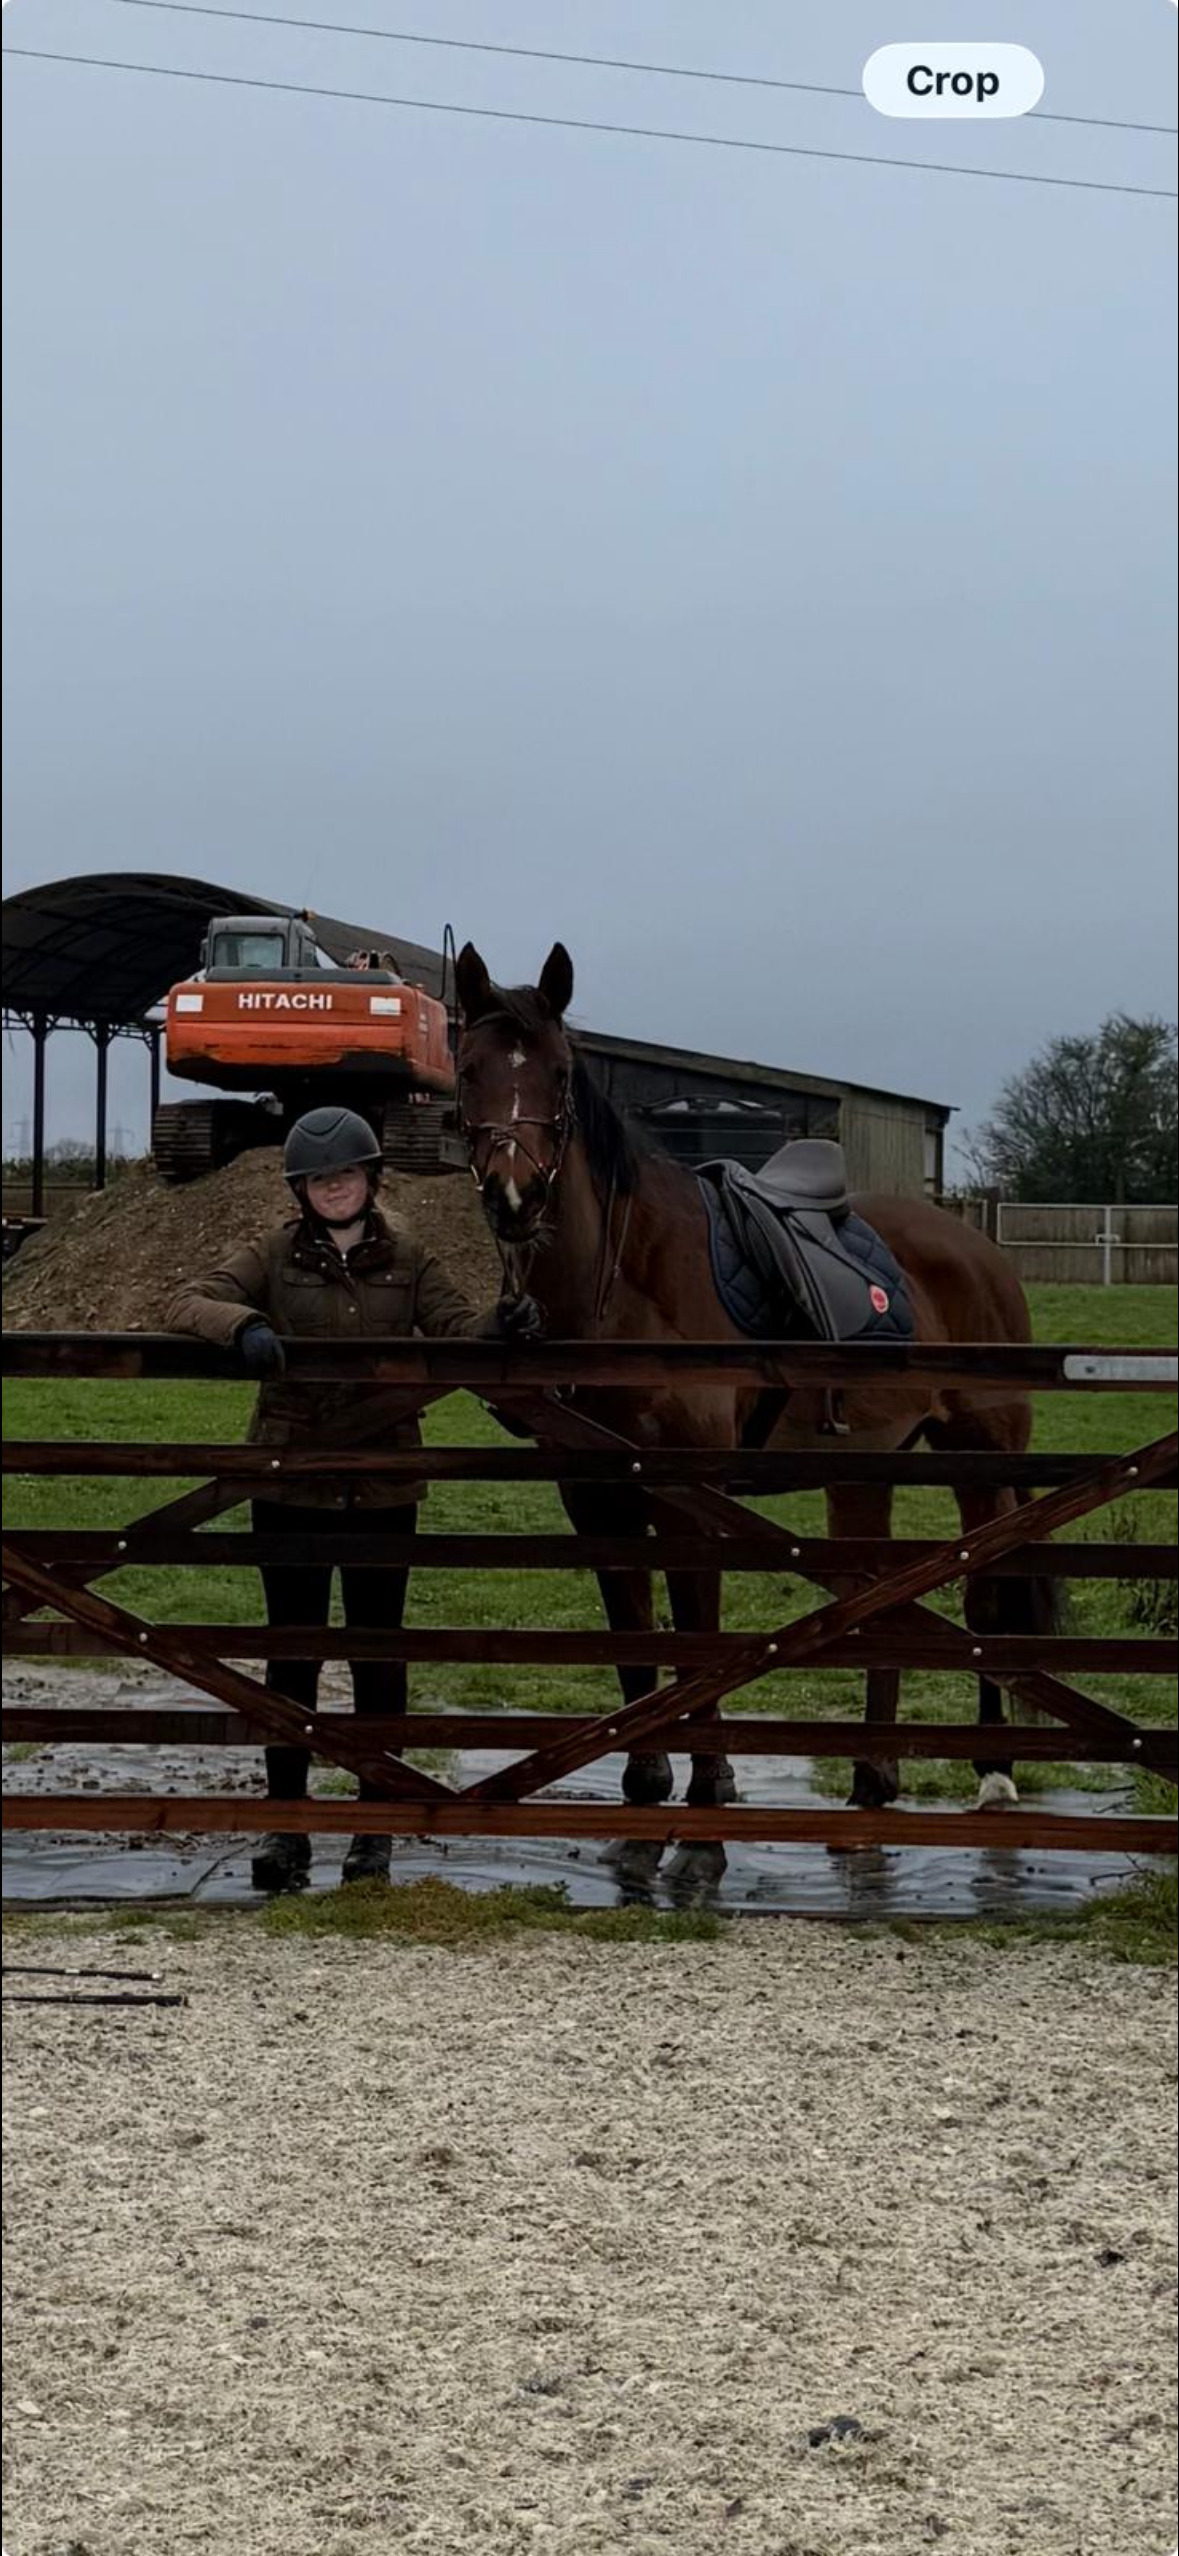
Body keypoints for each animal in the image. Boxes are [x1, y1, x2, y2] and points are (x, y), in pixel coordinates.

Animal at [454, 940, 1056, 1875]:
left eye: (556, 1073)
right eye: (469, 1068)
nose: (513, 1197)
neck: (625, 1284)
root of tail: (975, 1245)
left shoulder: (687, 1494)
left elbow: (693, 1634)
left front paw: (705, 1816)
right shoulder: (594, 1494)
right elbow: (632, 1634)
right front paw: (643, 1797)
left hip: (980, 1458)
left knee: (984, 1599)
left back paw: (994, 1776)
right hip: (863, 1471)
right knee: (878, 1599)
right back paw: (870, 1781)